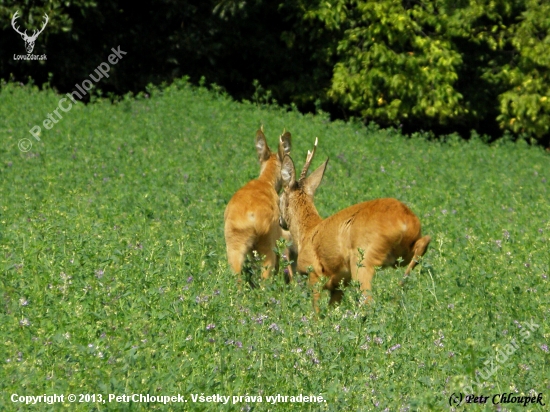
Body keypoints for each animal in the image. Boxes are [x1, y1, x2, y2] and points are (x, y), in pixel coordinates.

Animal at [224, 127, 296, 284]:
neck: (266, 181)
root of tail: (253, 218)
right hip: (267, 244)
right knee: (265, 277)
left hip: (234, 243)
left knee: (237, 277)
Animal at [280, 138, 432, 308]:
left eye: (280, 196)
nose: (280, 221)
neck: (306, 232)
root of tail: (405, 220)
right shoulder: (339, 284)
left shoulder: (314, 272)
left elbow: (316, 310)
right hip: (400, 254)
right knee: (423, 243)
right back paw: (399, 289)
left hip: (363, 258)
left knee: (368, 299)